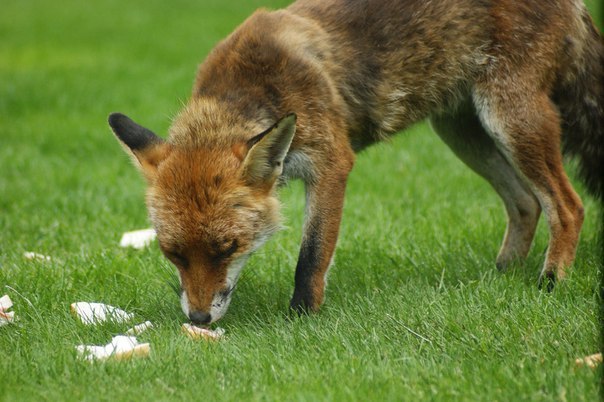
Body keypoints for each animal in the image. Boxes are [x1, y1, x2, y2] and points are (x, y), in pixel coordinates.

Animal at [106, 0, 600, 326]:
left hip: (510, 117)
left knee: (568, 206)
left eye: (226, 248)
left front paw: (301, 320)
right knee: (526, 203)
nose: (199, 320)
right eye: (173, 253)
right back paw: (502, 276)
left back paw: (551, 282)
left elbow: (311, 256)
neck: (256, 88)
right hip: (463, 131)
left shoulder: (330, 163)